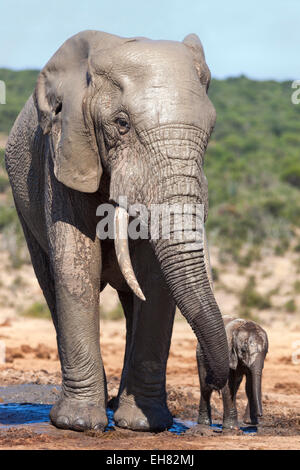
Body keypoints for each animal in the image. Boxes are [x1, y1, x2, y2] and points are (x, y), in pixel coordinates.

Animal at [4, 31, 229, 432]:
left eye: (212, 130)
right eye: (121, 123)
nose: (216, 383)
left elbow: (153, 277)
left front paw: (143, 425)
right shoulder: (63, 152)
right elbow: (77, 265)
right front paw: (78, 423)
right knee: (50, 283)